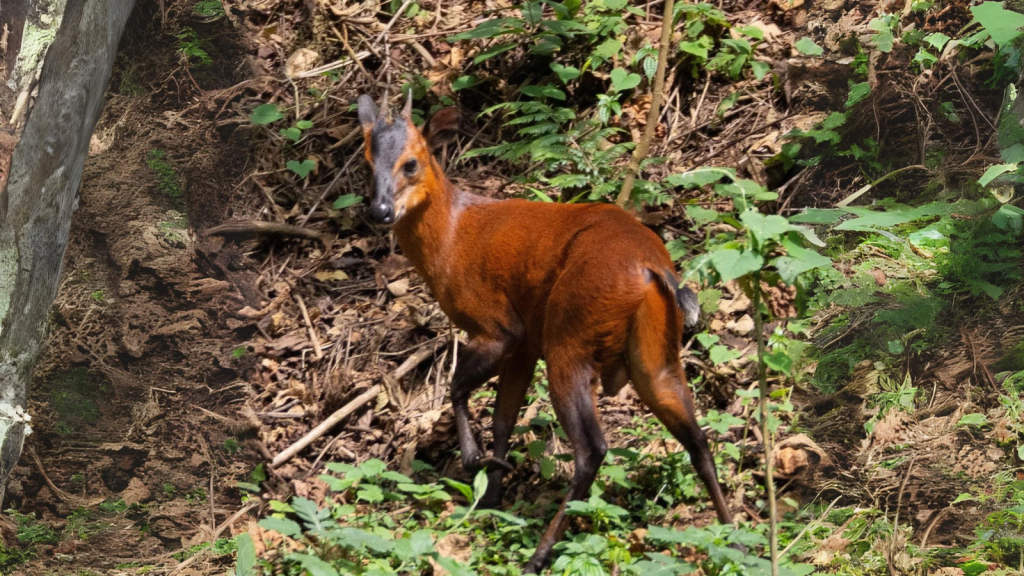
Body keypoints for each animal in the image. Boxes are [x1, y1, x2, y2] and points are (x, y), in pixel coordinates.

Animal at [356, 93, 733, 569]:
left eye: (411, 163)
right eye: (367, 162)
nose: (380, 211)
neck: (452, 238)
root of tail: (652, 269)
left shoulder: (501, 328)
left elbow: (458, 389)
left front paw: (479, 466)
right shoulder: (525, 346)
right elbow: (503, 418)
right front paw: (491, 497)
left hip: (570, 341)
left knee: (592, 450)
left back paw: (538, 556)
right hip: (654, 357)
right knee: (698, 440)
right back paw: (736, 540)